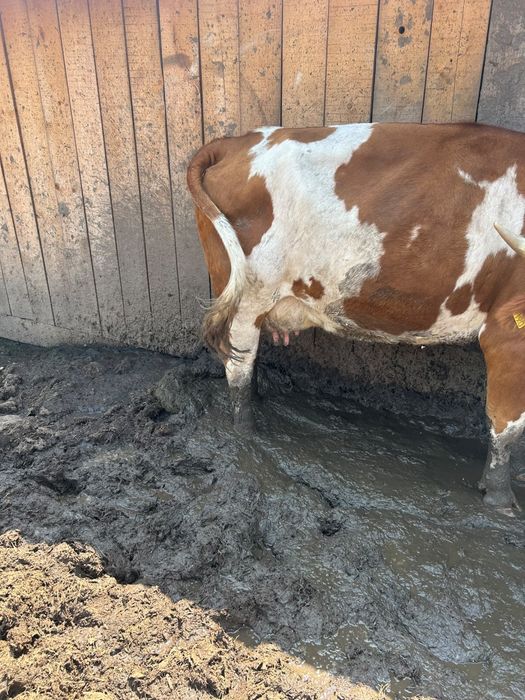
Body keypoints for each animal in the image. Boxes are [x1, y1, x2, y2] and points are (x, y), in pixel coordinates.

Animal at [187, 122, 525, 512]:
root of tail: (239, 140)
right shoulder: (508, 333)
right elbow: (508, 423)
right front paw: (500, 499)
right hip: (247, 297)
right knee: (238, 367)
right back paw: (247, 432)